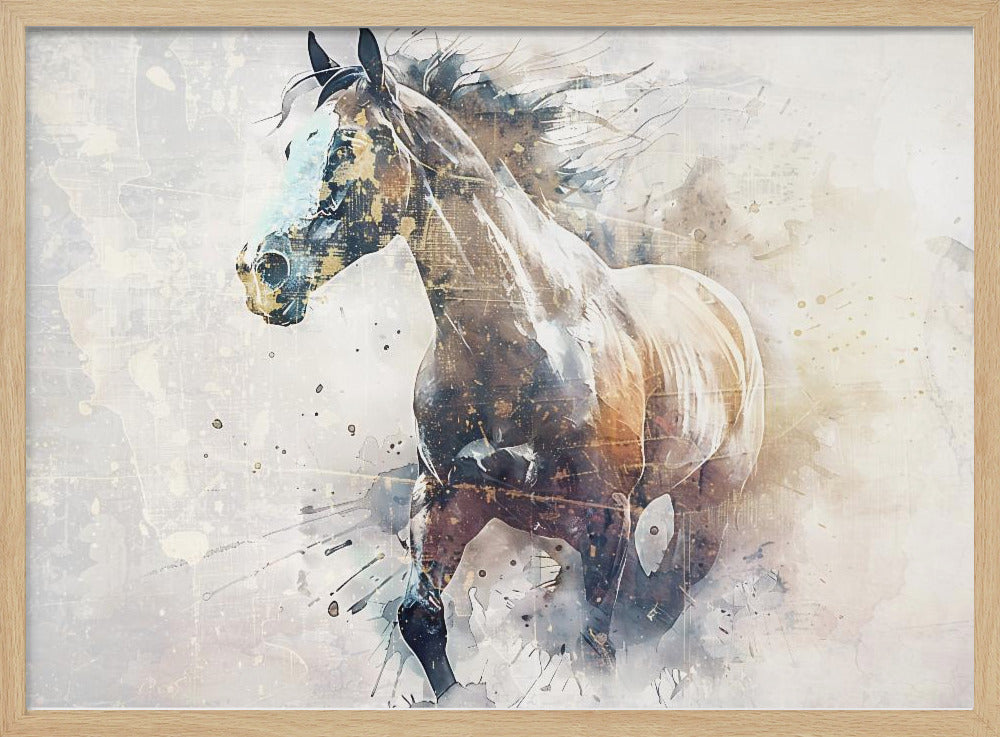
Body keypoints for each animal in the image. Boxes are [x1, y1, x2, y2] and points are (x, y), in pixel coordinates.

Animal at [237, 29, 764, 702]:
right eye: (288, 148)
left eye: (349, 144)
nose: (260, 271)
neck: (516, 350)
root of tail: (722, 305)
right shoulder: (447, 497)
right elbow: (421, 618)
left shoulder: (606, 523)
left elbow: (593, 643)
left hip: (709, 501)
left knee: (673, 590)